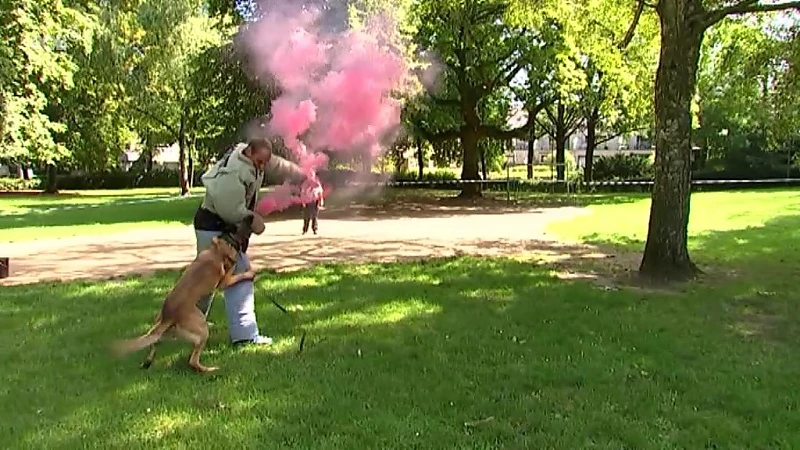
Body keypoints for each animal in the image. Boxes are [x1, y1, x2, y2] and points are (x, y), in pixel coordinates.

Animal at [112, 219, 260, 372]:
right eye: (241, 223)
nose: (251, 215)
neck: (222, 244)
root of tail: (168, 317)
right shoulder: (225, 281)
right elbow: (239, 275)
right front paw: (251, 273)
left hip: (158, 326)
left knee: (153, 342)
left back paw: (148, 361)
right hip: (202, 329)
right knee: (193, 360)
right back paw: (210, 368)